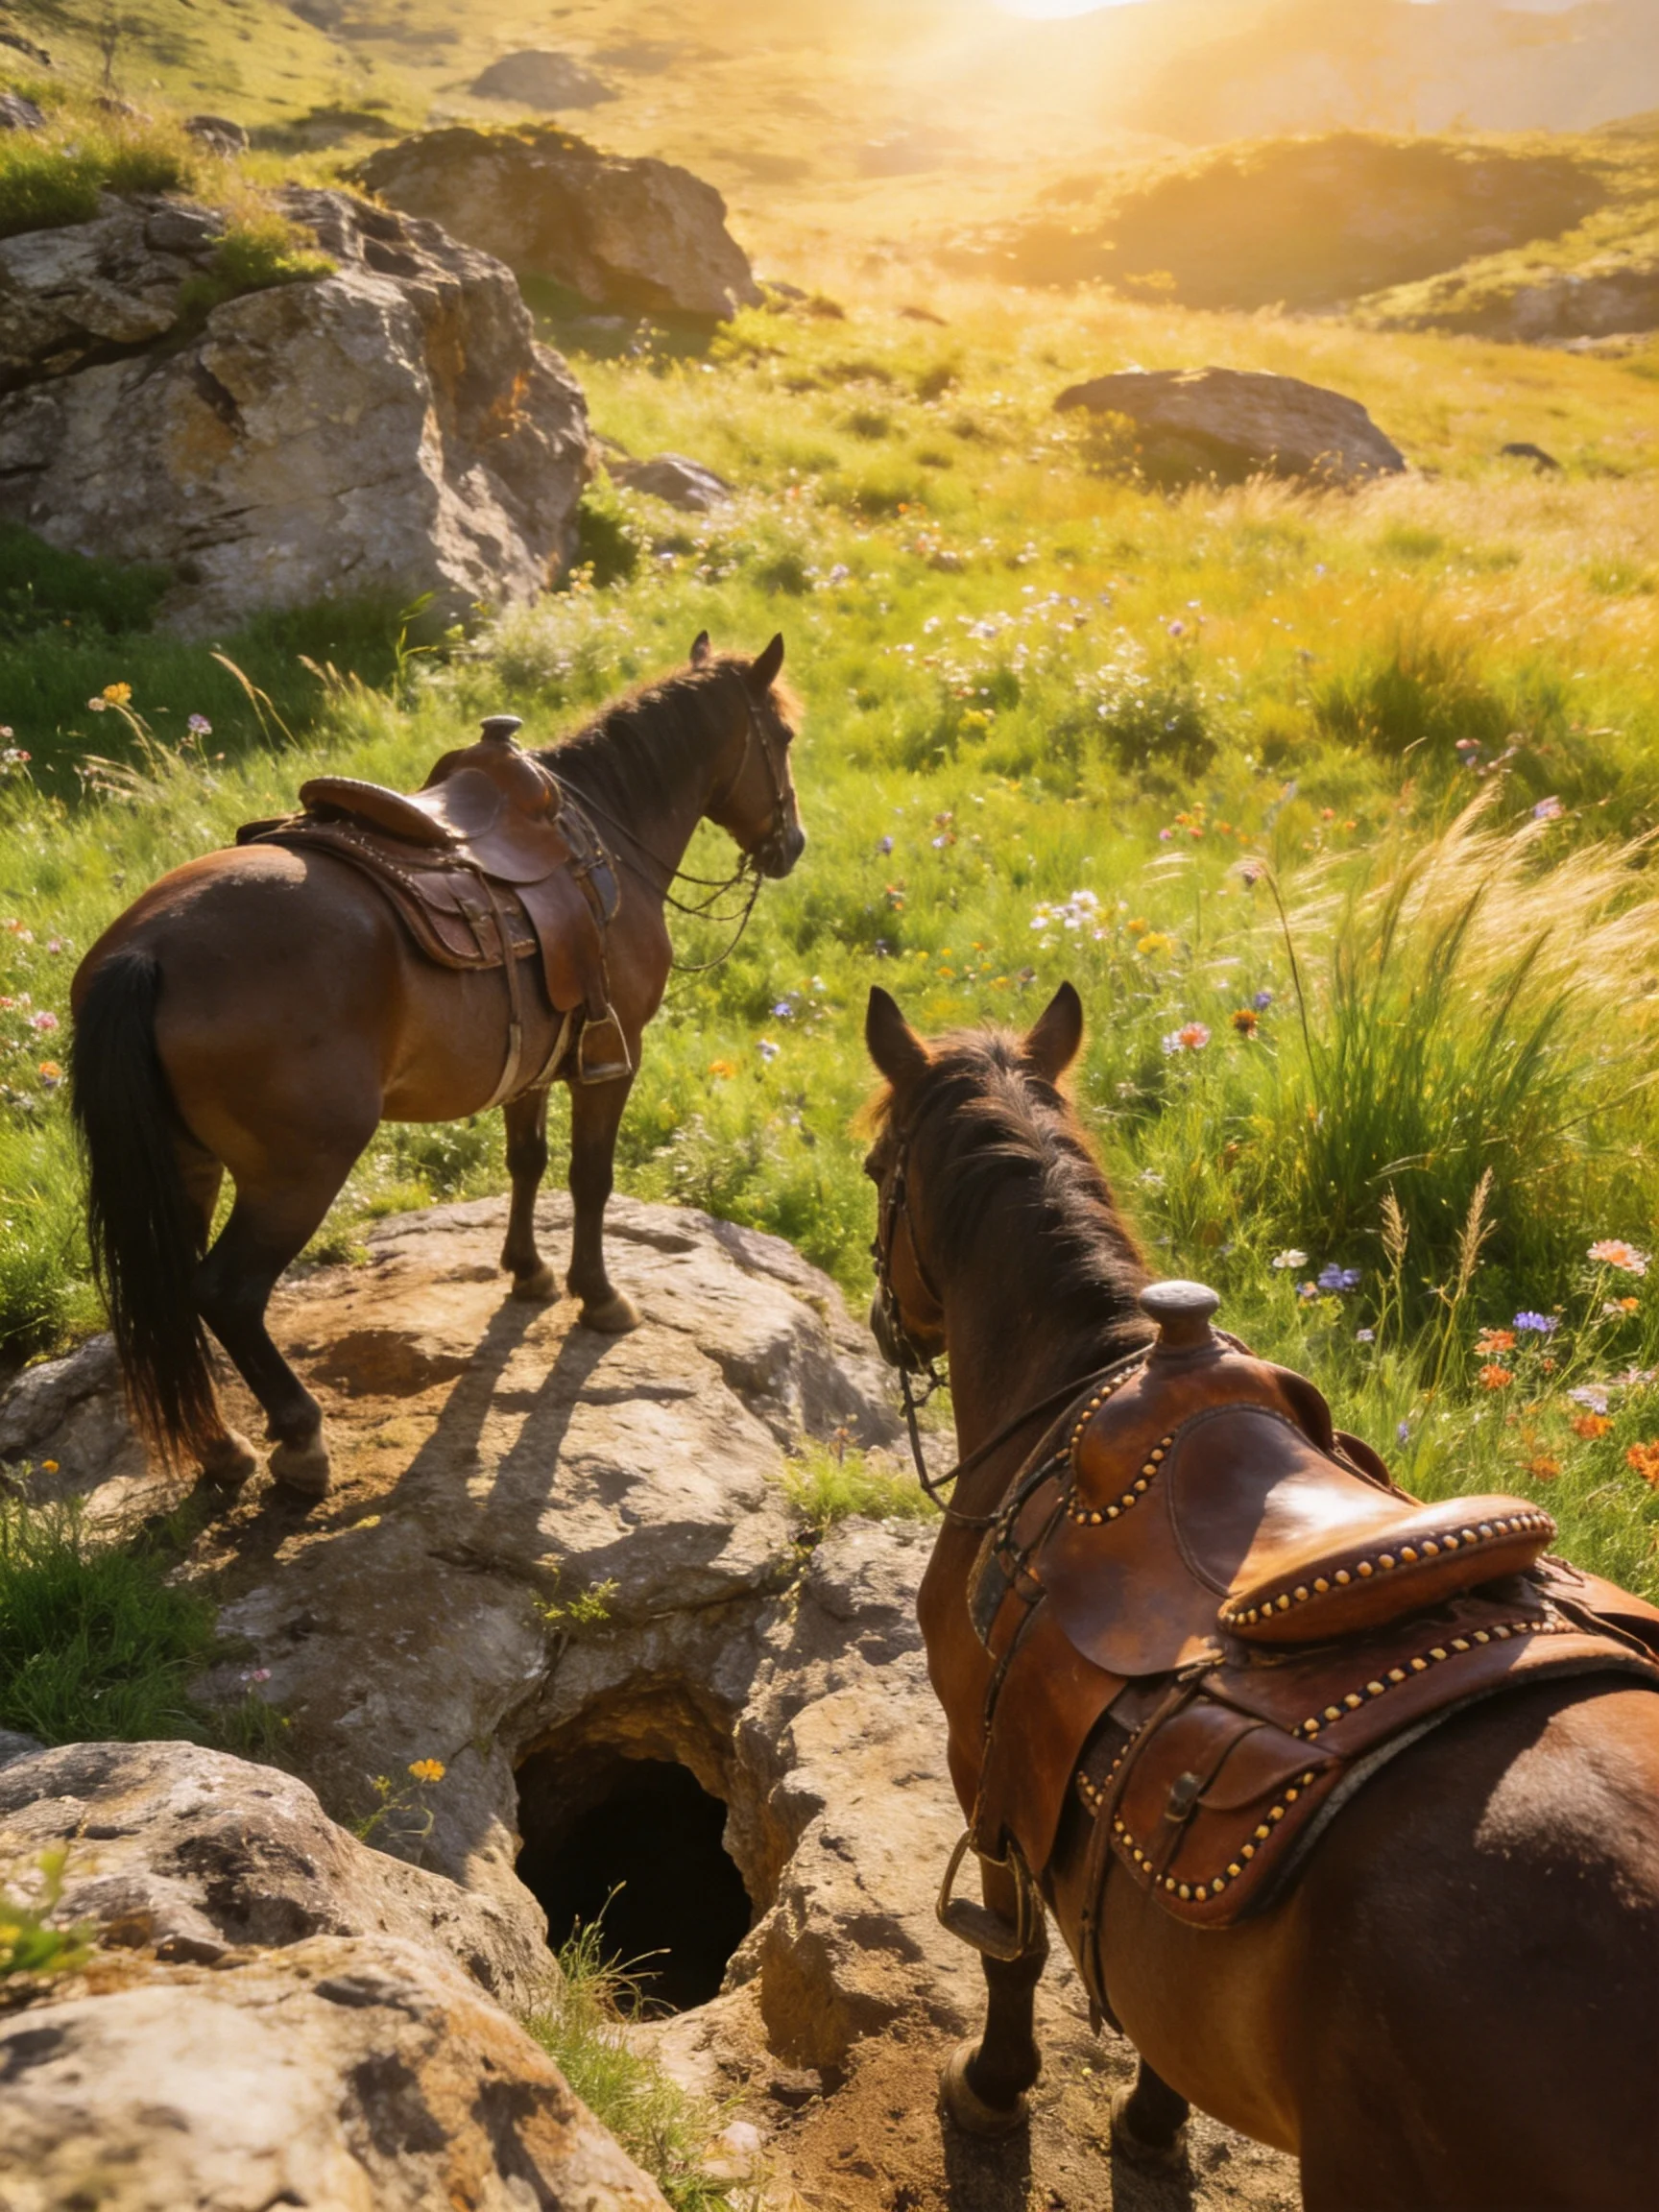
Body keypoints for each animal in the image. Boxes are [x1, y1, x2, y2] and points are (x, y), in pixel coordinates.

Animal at [69, 632, 803, 1501]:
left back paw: (223, 1448)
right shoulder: (614, 1055)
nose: (792, 846)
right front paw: (599, 1296)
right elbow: (591, 1178)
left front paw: (527, 1272)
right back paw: (299, 1437)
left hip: (186, 1164)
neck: (604, 830)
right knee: (226, 1292)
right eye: (783, 737)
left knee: (171, 1293)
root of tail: (147, 953)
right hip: (299, 1172)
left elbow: (527, 1160)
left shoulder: (533, 1063)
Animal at [861, 980, 1659, 2210]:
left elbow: (1014, 1947)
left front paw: (993, 2087)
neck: (1079, 1379)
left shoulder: (976, 1749)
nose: (884, 1327)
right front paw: (1150, 2125)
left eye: (871, 1171)